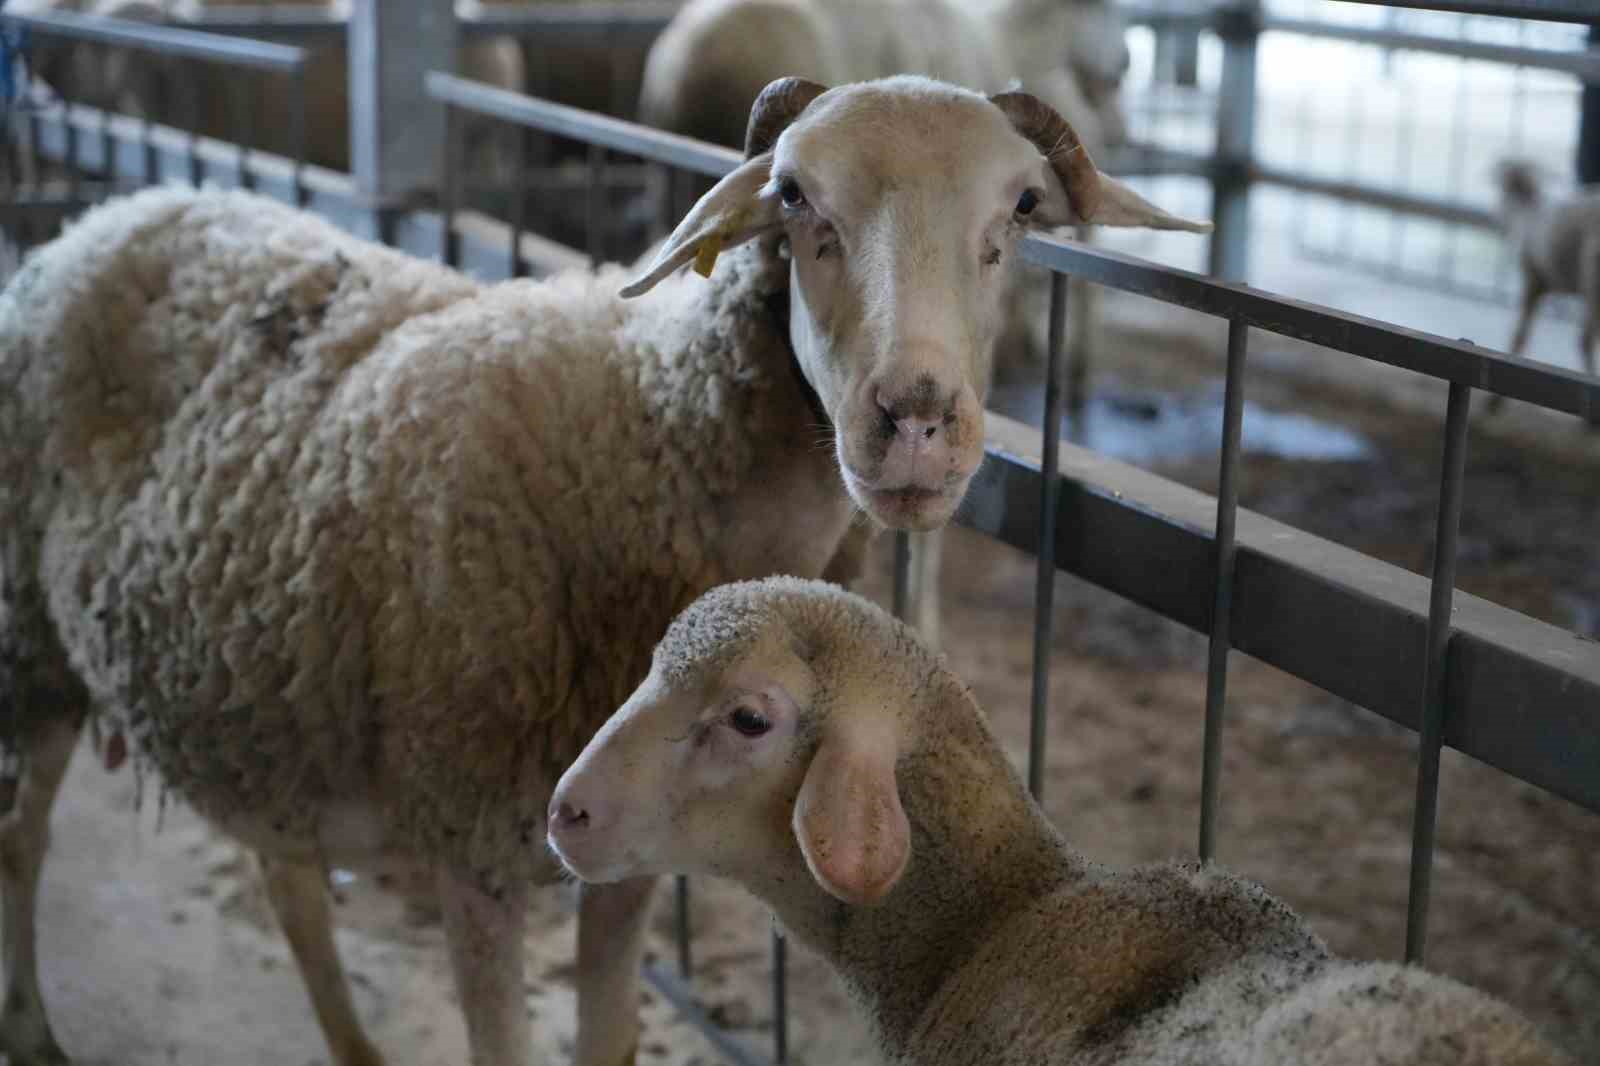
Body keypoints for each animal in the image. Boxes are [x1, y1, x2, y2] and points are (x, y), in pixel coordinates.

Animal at [0, 74, 1203, 1062]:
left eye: (1022, 209)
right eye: (793, 198)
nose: (914, 419)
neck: (647, 419)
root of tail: (105, 219)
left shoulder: (627, 838)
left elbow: (610, 1035)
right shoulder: (475, 842)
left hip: (260, 687)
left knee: (284, 872)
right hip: (35, 649)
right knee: (24, 838)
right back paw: (37, 1030)